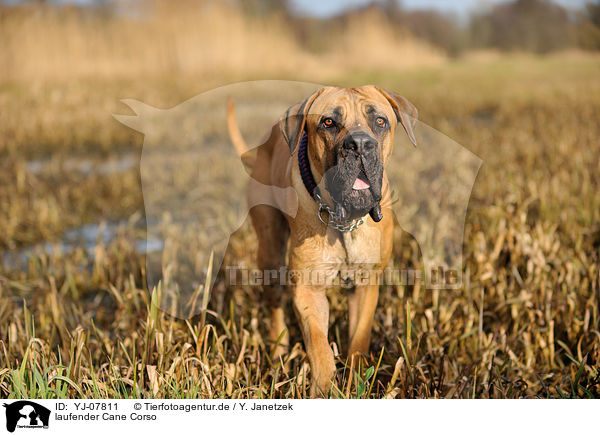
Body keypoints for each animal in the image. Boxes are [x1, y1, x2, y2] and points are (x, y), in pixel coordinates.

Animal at [227, 86, 420, 398]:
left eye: (380, 121)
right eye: (328, 122)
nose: (359, 145)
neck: (345, 220)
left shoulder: (366, 285)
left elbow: (359, 338)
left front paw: (356, 380)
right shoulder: (308, 289)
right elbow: (318, 345)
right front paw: (324, 386)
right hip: (269, 248)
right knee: (274, 304)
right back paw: (278, 352)